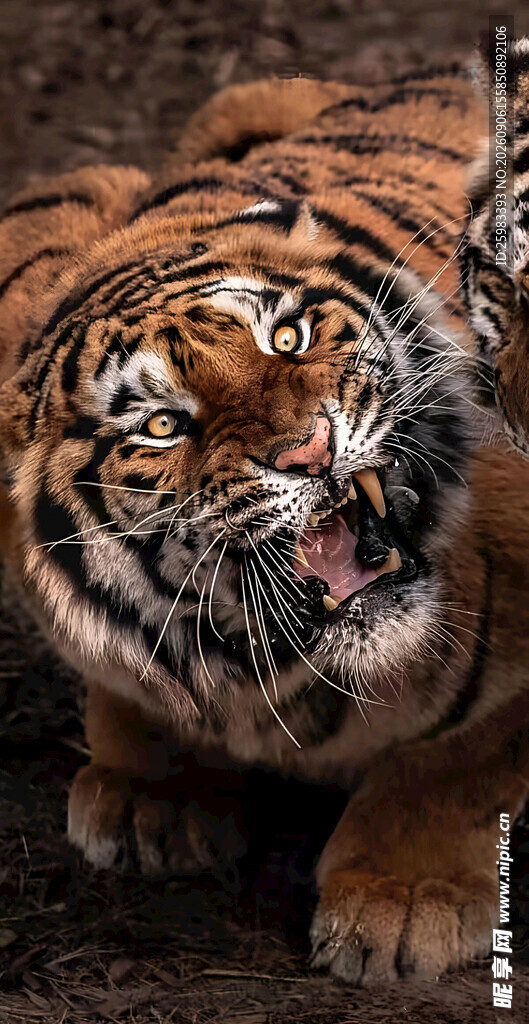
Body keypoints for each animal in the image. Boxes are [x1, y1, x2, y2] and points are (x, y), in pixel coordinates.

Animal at [1, 50, 529, 988]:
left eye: (287, 339)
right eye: (160, 425)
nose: (310, 451)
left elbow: (461, 760)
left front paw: (404, 898)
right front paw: (151, 798)